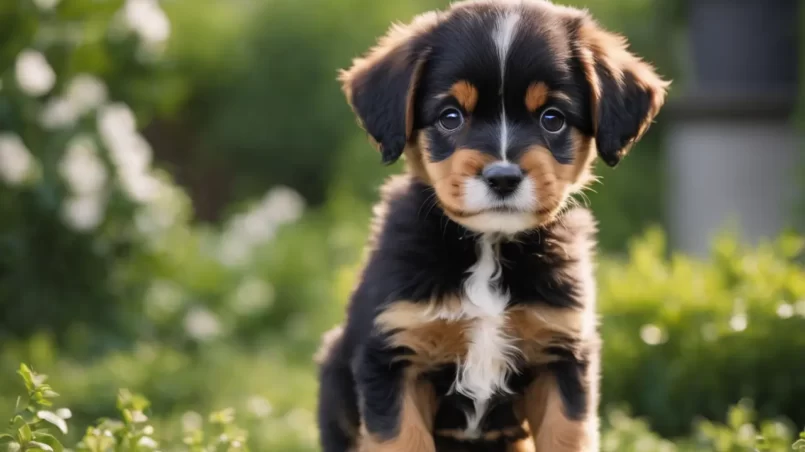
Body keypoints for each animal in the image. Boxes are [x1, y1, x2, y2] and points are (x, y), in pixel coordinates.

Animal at [318, 1, 668, 450]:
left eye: (552, 118)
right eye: (450, 117)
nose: (502, 177)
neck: (489, 246)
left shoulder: (562, 357)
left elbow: (565, 436)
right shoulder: (394, 358)